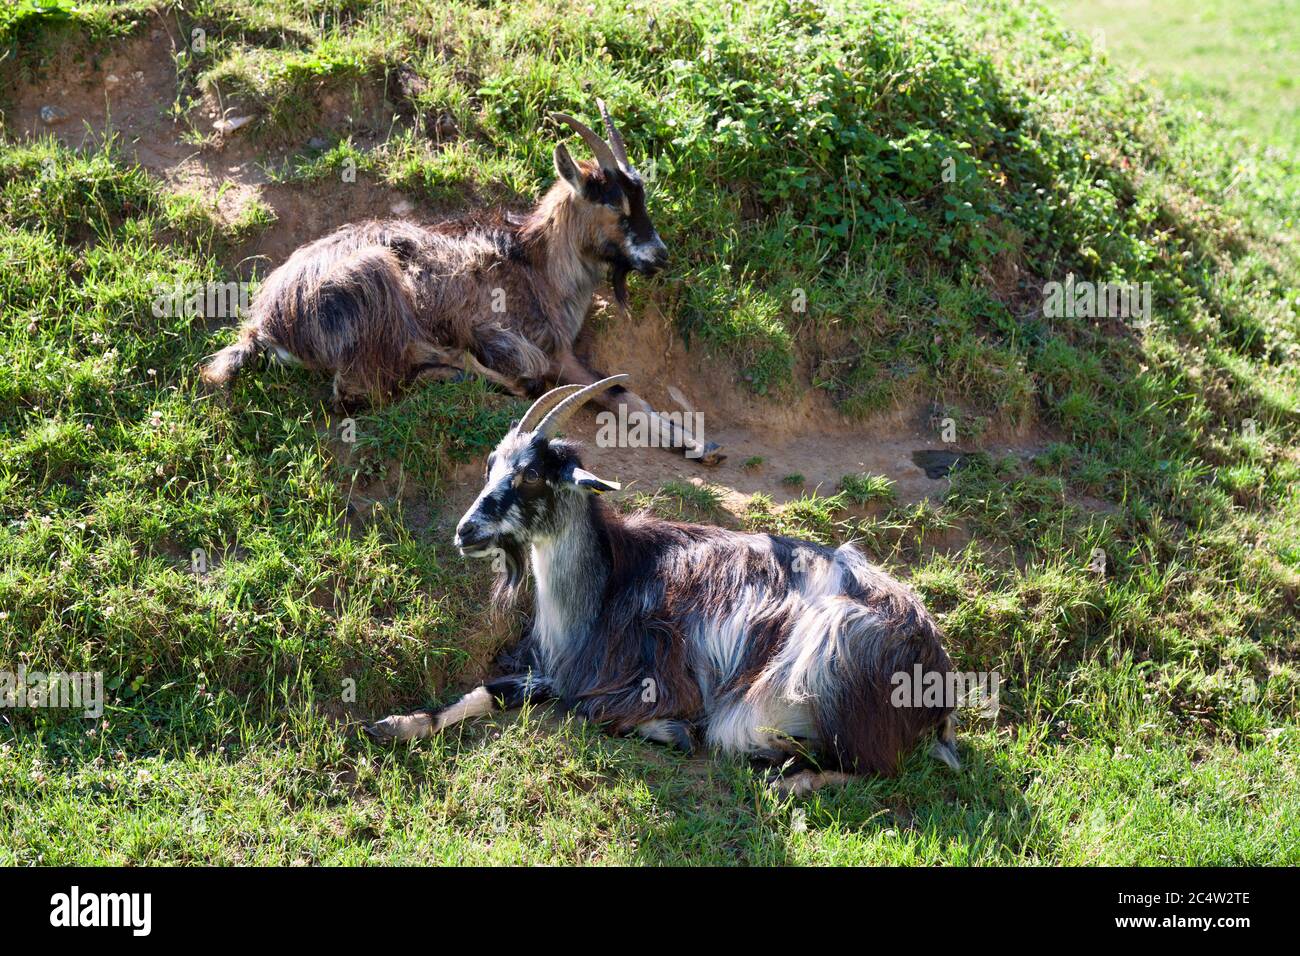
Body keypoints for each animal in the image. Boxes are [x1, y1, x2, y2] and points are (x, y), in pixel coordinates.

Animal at [200, 101, 721, 463]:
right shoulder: (534, 344)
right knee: (361, 389)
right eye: (614, 205)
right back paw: (474, 374)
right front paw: (699, 444)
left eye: (642, 197)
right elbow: (613, 389)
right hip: (377, 284)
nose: (659, 255)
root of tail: (266, 325)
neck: (537, 264)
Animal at [366, 375, 960, 795]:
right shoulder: (557, 667)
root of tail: (938, 681)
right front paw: (394, 725)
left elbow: (591, 709)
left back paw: (793, 778)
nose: (466, 531)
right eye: (490, 463)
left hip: (830, 652)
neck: (607, 583)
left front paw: (673, 731)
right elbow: (488, 691)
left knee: (875, 767)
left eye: (531, 473)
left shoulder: (659, 676)